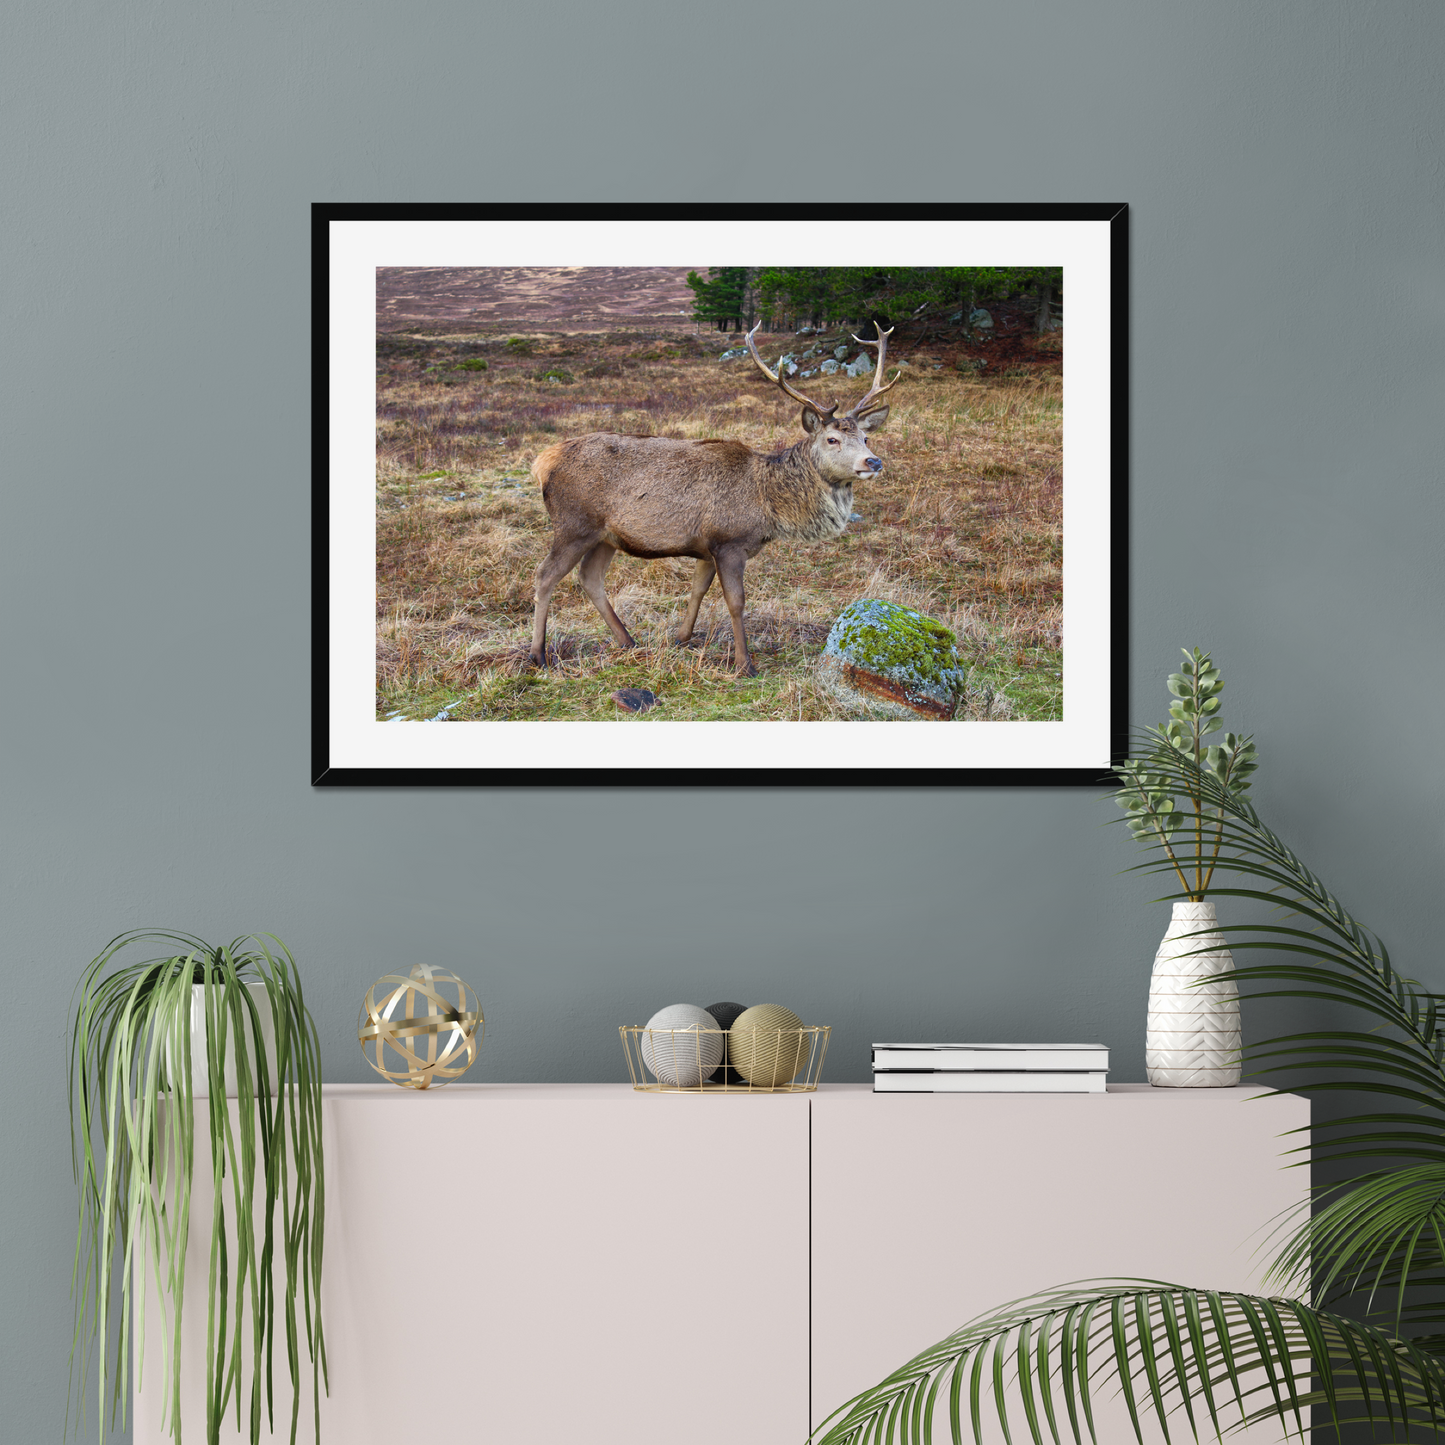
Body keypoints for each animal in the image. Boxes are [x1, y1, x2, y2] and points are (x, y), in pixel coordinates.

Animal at [527, 321, 898, 677]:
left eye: (866, 437)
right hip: (574, 524)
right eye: (832, 439)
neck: (768, 505)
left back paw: (628, 640)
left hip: (606, 536)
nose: (873, 461)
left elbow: (698, 589)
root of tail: (542, 461)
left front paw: (681, 638)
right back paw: (538, 655)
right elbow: (736, 602)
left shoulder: (707, 548)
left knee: (590, 577)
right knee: (545, 575)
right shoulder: (729, 542)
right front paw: (745, 664)